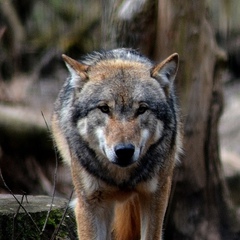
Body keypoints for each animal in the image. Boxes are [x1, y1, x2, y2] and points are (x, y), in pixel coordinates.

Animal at [51, 47, 182, 239]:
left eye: (142, 109)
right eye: (104, 108)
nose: (124, 150)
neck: (121, 177)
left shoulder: (156, 197)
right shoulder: (88, 204)